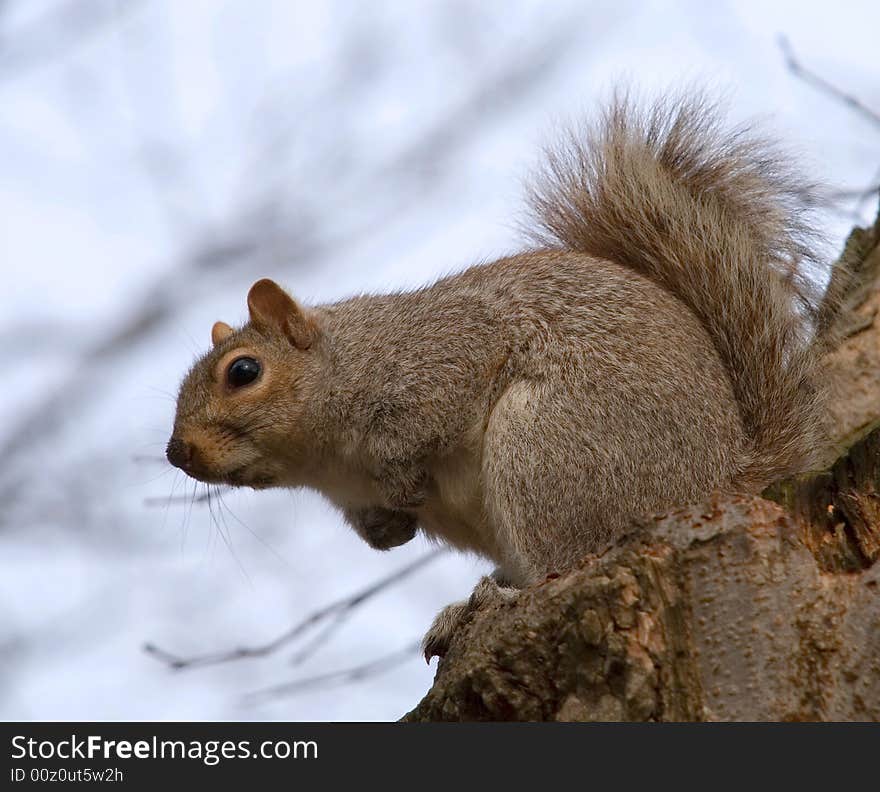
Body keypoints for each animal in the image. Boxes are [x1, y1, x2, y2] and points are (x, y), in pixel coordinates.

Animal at [168, 93, 836, 664]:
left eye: (244, 371)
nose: (178, 453)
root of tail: (719, 479)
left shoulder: (441, 360)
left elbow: (424, 425)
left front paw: (402, 479)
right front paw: (387, 530)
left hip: (548, 449)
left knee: (563, 558)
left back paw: (494, 600)